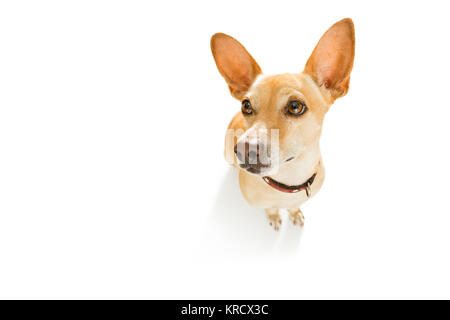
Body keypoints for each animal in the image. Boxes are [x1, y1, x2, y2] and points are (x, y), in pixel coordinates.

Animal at [211, 18, 356, 230]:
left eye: (295, 106)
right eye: (246, 105)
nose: (246, 149)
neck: (288, 182)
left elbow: (294, 207)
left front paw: (294, 213)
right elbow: (270, 208)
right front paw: (273, 216)